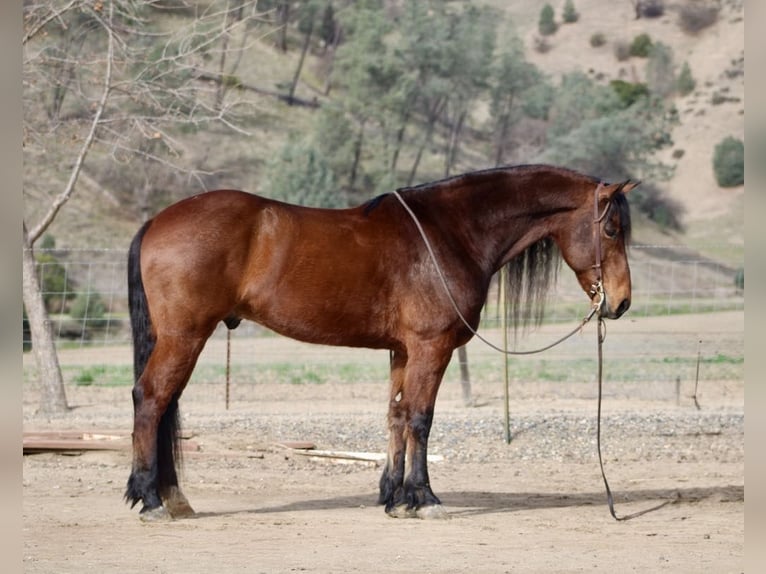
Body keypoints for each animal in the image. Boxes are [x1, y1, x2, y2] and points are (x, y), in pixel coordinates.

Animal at [125, 163, 637, 521]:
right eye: (612, 229)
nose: (622, 302)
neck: (450, 232)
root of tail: (156, 222)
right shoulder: (432, 347)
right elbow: (421, 419)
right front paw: (424, 498)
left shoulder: (403, 350)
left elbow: (396, 416)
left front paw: (394, 497)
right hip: (185, 336)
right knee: (151, 400)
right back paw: (152, 500)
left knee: (163, 404)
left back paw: (172, 498)